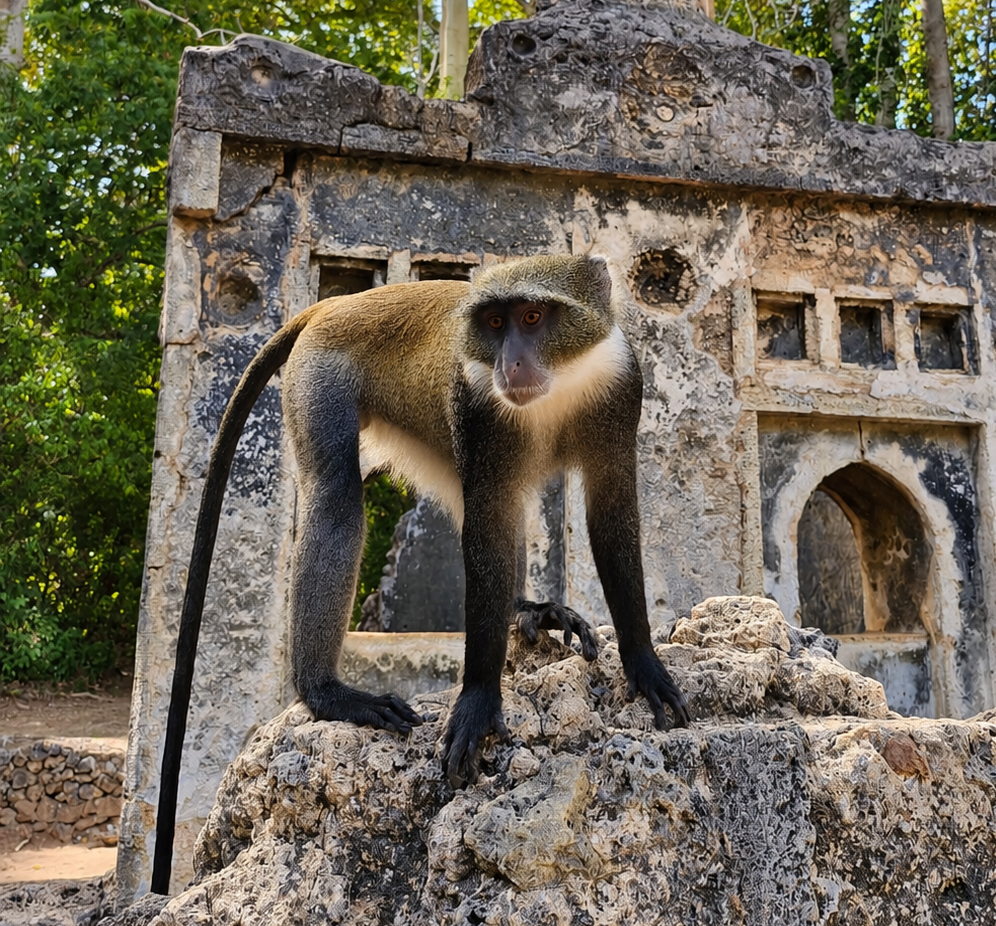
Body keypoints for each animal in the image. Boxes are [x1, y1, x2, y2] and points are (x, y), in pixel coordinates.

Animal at [152, 254, 689, 893]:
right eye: (495, 322)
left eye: (533, 317)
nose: (510, 362)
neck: (560, 384)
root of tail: (334, 305)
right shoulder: (480, 412)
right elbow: (487, 524)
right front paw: (478, 699)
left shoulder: (619, 389)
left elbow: (609, 515)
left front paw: (644, 661)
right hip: (318, 378)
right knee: (336, 499)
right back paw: (324, 691)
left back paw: (526, 609)